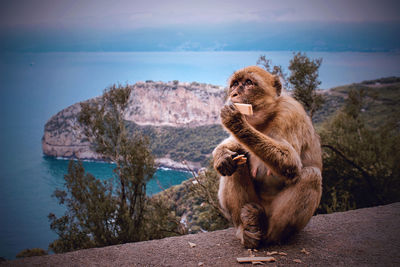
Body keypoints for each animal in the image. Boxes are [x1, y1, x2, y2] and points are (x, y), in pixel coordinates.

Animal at [212, 65, 322, 249]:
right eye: (234, 84)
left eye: (248, 83)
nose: (234, 94)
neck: (266, 118)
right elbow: (235, 146)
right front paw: (222, 156)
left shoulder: (289, 114)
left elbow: (291, 162)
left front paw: (235, 122)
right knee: (238, 163)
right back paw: (247, 229)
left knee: (311, 175)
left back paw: (268, 232)